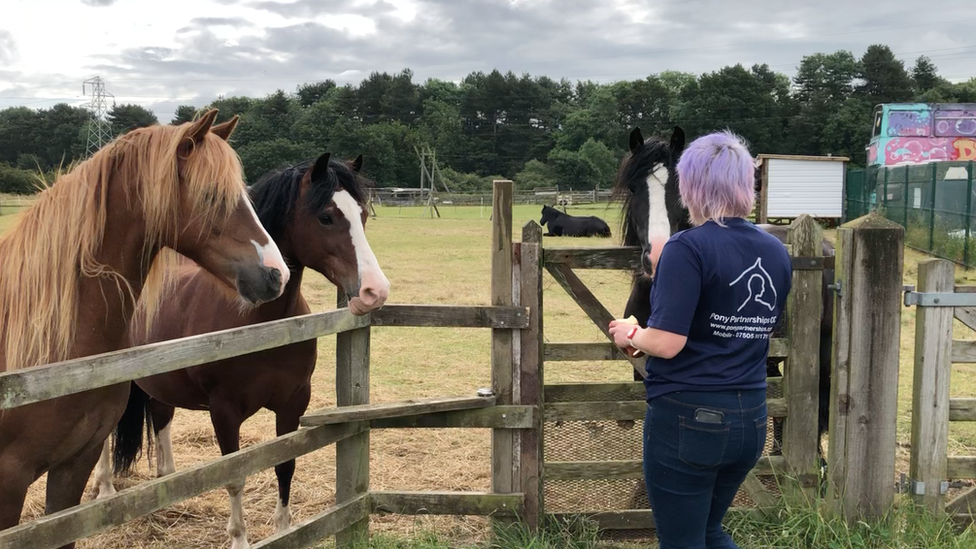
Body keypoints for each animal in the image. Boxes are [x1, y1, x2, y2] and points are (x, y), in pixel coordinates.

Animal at [94, 151, 388, 548]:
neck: (259, 324)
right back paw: (106, 490)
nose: (375, 290)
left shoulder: (294, 401)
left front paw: (285, 530)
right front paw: (239, 538)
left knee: (161, 418)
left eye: (363, 214)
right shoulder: (225, 412)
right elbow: (234, 475)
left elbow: (285, 464)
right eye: (326, 216)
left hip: (161, 384)